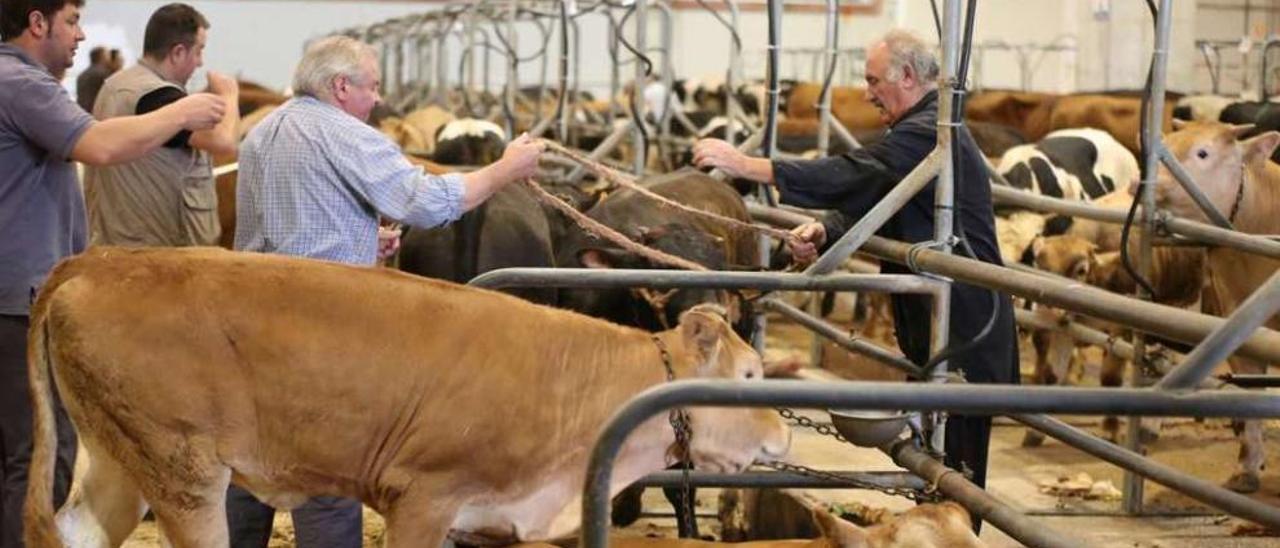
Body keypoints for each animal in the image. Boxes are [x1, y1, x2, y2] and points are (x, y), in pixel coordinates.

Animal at [24, 248, 788, 548]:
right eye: (751, 377)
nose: (783, 433)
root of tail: (104, 259)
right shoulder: (423, 494)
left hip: (119, 457)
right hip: (181, 470)